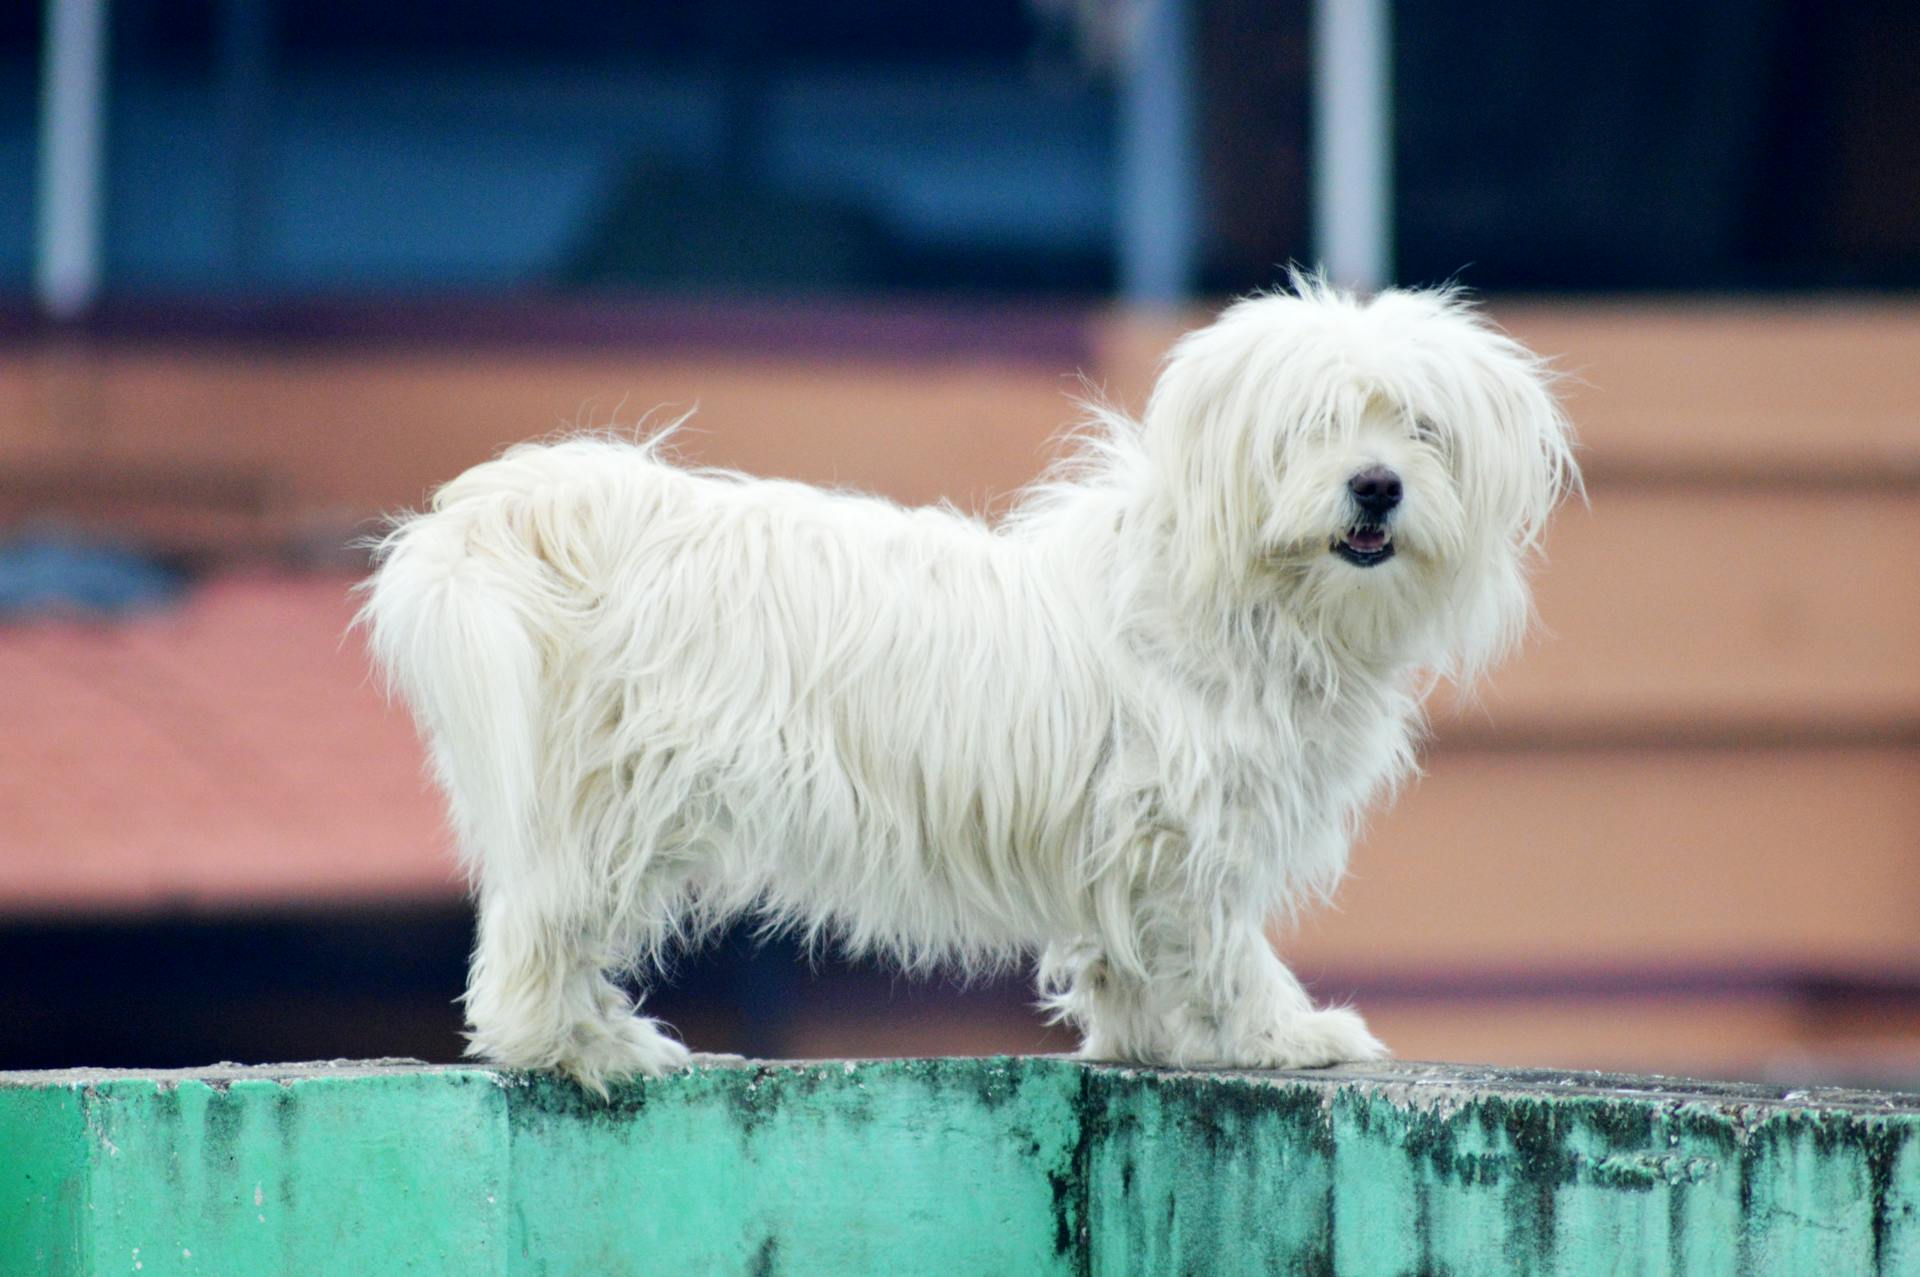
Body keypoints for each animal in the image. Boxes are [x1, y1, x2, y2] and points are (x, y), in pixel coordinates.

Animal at [360, 276, 1574, 1083]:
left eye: (1422, 427)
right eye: (1311, 429)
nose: (1376, 485)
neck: (1243, 602)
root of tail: (581, 516)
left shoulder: (1127, 841)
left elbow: (1129, 953)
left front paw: (1146, 1034)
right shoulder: (1192, 833)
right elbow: (1225, 946)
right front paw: (1283, 1033)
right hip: (620, 801)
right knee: (540, 930)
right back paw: (585, 1043)